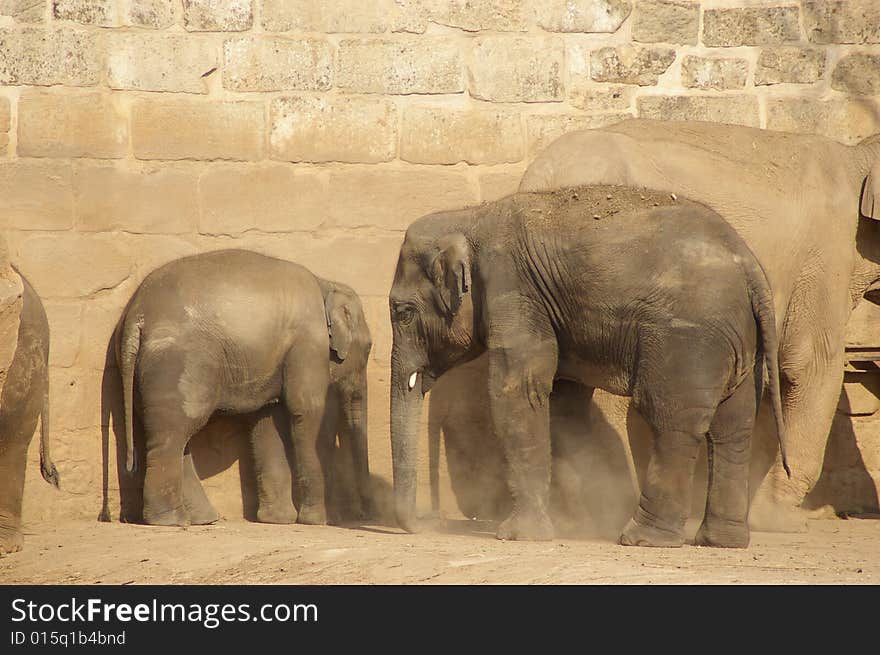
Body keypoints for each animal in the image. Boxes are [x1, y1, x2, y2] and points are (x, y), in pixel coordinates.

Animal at [114, 249, 372, 532]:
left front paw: (278, 520)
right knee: (173, 433)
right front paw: (318, 521)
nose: (364, 513)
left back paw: (202, 519)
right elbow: (306, 410)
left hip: (142, 374)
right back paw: (171, 521)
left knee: (172, 434)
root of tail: (135, 317)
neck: (326, 282)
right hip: (176, 364)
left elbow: (267, 423)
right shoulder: (308, 342)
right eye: (369, 348)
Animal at [388, 184, 788, 548]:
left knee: (671, 421)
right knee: (733, 427)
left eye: (402, 313)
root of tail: (750, 266)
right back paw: (720, 541)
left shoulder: (512, 290)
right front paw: (571, 525)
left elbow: (517, 390)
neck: (472, 216)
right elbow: (564, 400)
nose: (426, 524)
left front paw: (520, 536)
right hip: (740, 344)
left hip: (688, 339)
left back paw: (642, 538)